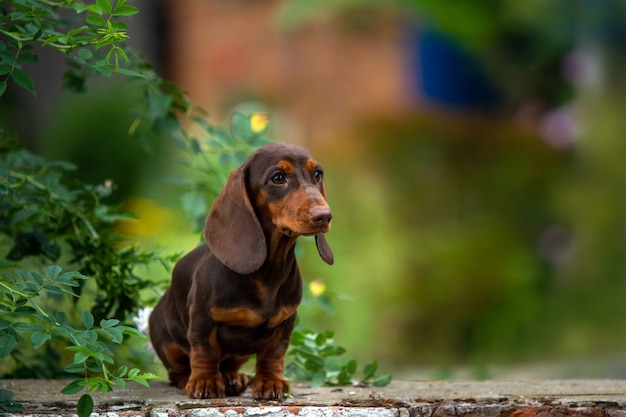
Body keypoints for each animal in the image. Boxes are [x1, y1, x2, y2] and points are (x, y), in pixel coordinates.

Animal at [147, 143, 332, 400]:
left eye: (317, 174)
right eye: (278, 178)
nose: (324, 215)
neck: (268, 274)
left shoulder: (286, 322)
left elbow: (274, 354)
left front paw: (270, 381)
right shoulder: (202, 318)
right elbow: (204, 351)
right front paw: (205, 381)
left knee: (228, 364)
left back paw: (233, 378)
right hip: (167, 341)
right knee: (177, 372)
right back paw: (193, 379)